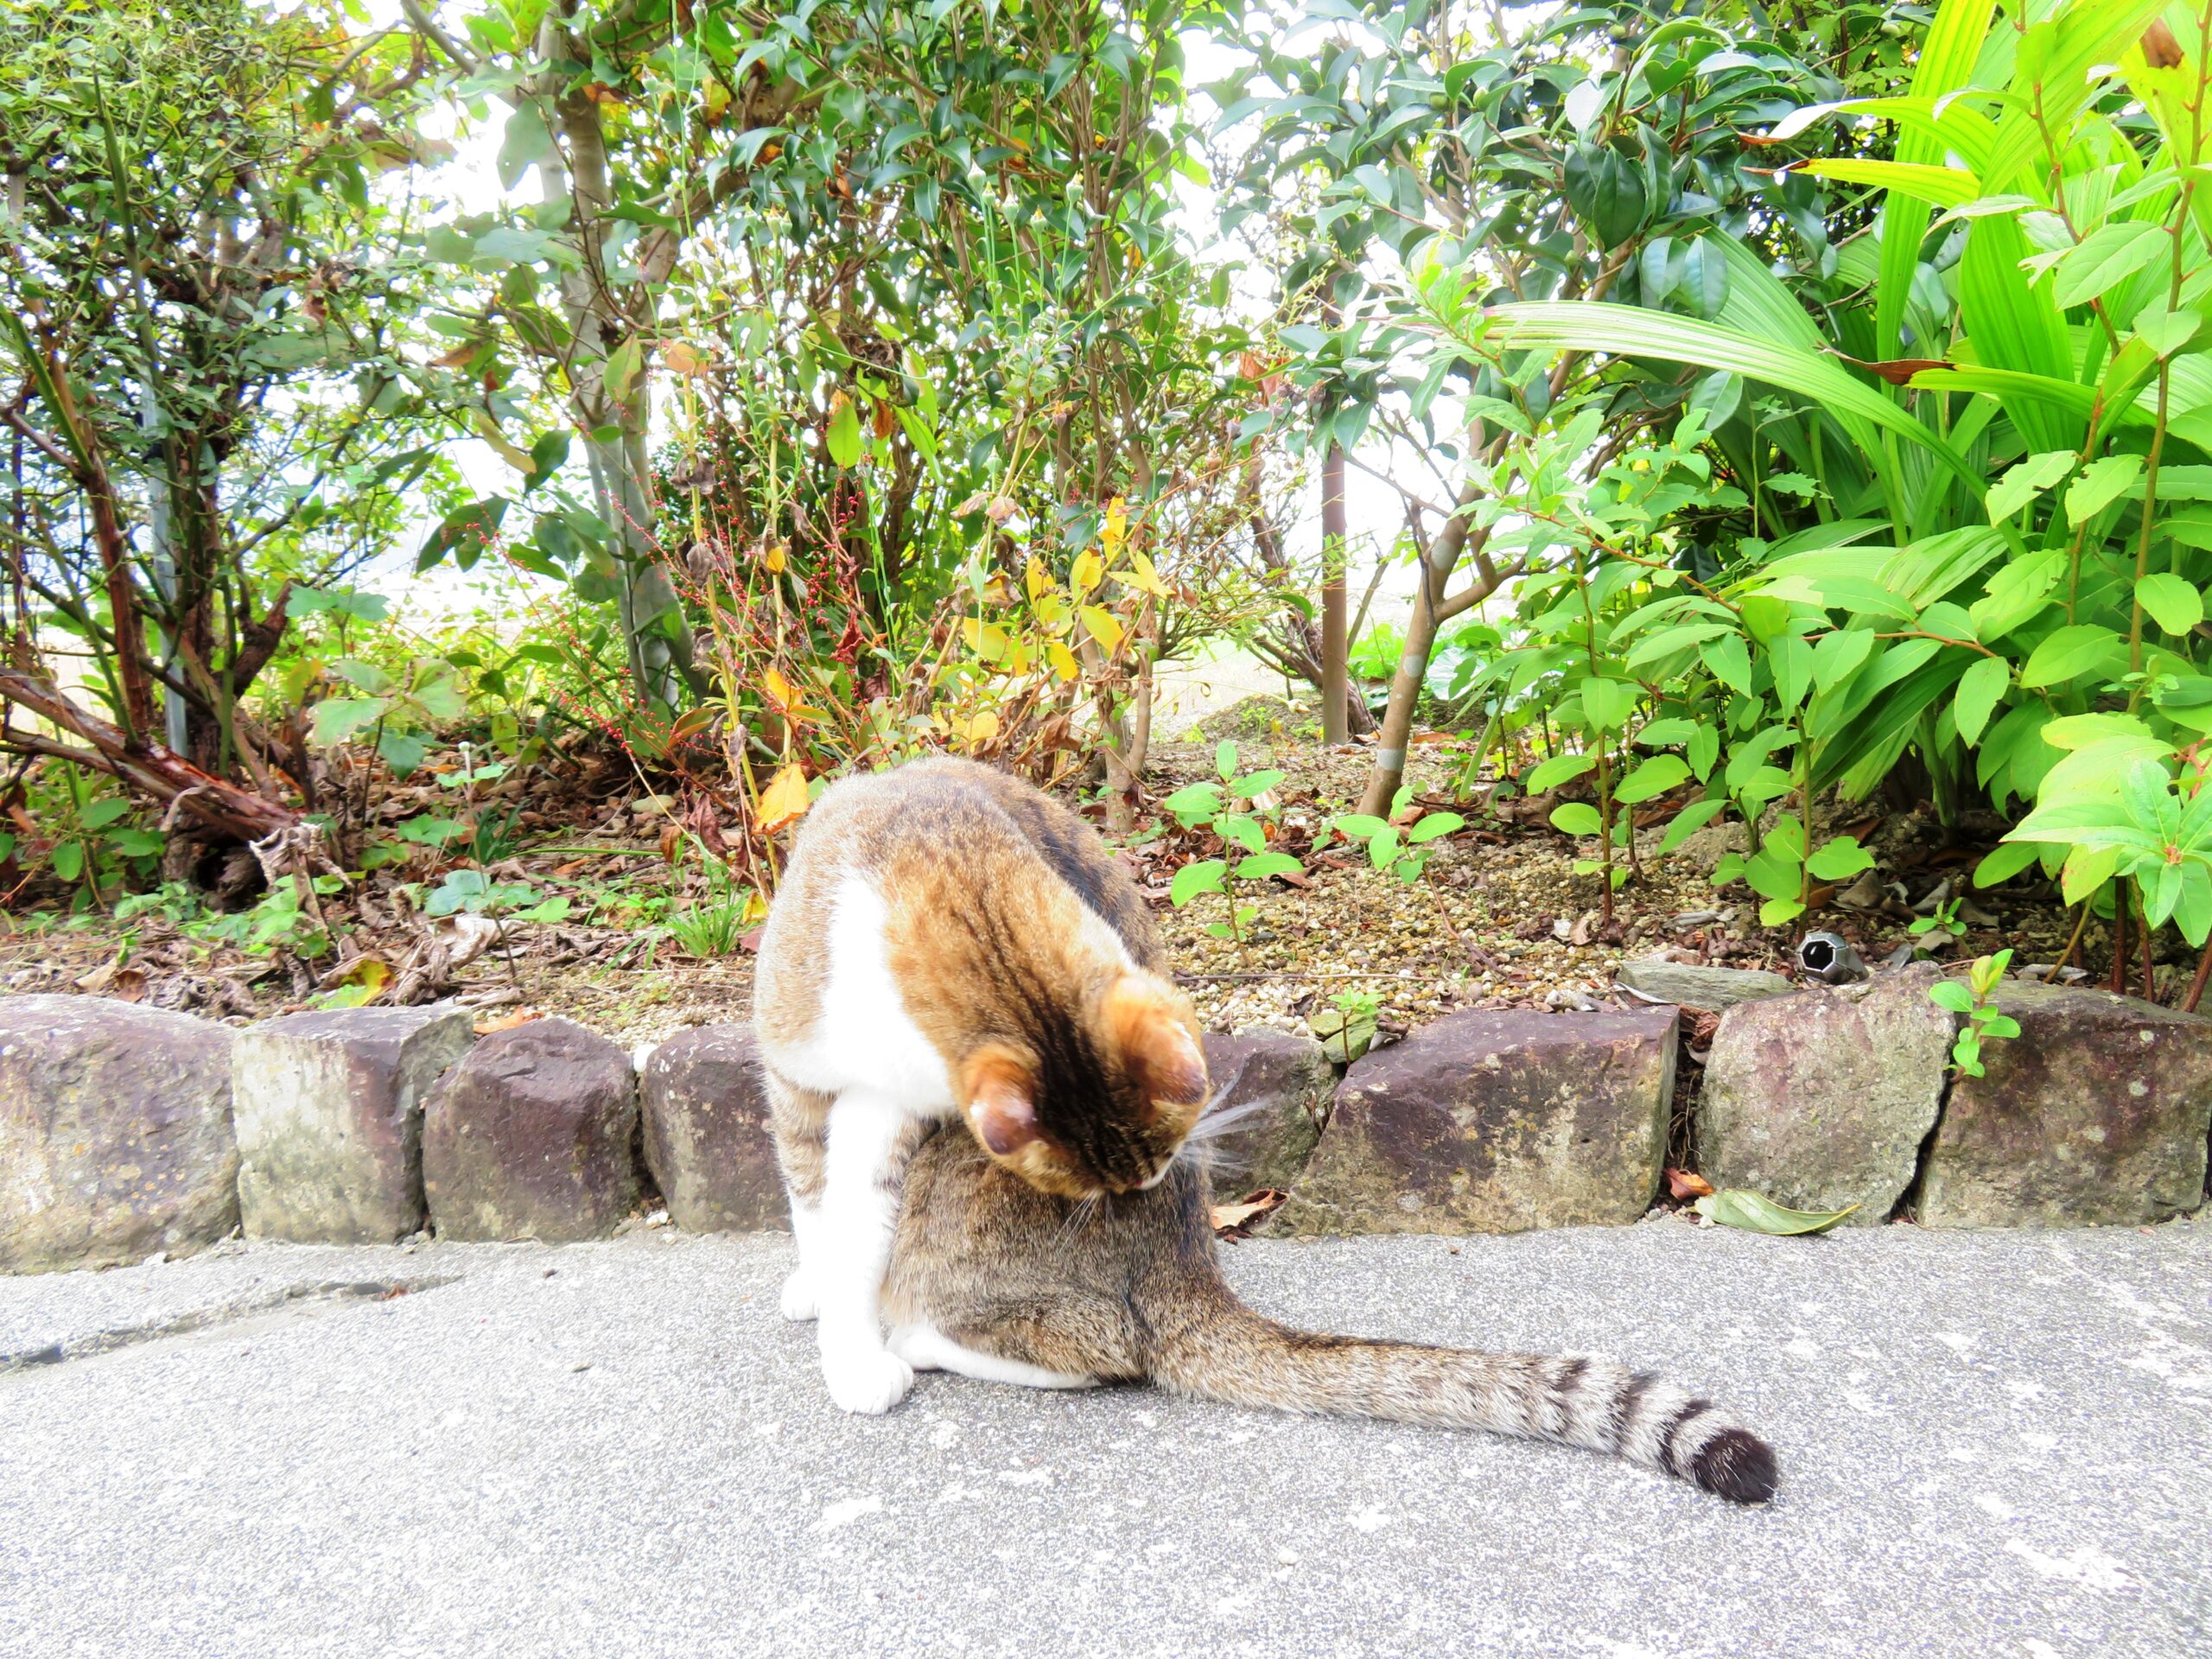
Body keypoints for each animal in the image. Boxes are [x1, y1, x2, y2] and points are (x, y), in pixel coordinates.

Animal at [756, 756, 1211, 1415]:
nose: (1142, 1193)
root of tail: (1189, 1266)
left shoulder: (892, 1106)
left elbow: (858, 1226)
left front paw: (855, 1359)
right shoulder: (800, 1076)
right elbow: (818, 1206)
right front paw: (828, 1301)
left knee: (1107, 1349)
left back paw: (917, 1342)